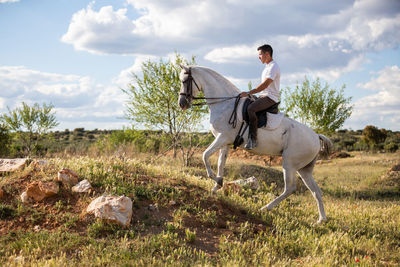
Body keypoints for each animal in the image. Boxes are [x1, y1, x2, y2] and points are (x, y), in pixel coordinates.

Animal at [178, 65, 332, 224]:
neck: (224, 104)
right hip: (304, 169)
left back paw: (265, 208)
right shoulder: (225, 143)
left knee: (290, 188)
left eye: (184, 81)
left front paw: (216, 181)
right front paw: (217, 186)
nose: (182, 103)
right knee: (316, 191)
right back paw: (320, 220)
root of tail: (316, 137)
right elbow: (220, 164)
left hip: (289, 163)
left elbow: (205, 155)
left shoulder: (222, 138)